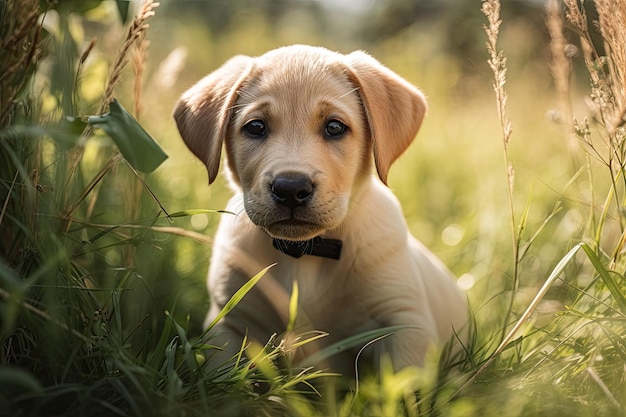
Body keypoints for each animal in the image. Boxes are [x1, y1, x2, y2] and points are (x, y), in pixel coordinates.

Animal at [173, 44, 466, 372]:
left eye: (335, 127)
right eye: (256, 127)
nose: (290, 188)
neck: (305, 253)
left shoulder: (404, 321)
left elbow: (405, 381)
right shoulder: (229, 324)